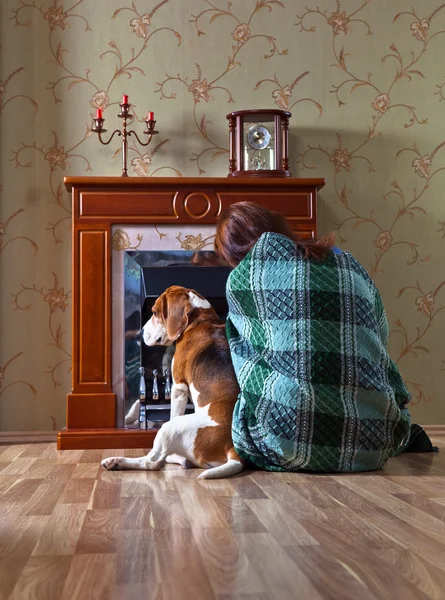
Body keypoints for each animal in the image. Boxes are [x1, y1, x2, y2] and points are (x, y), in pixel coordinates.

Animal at [100, 284, 243, 478]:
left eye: (154, 312)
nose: (140, 333)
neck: (201, 320)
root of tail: (232, 447)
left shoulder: (178, 388)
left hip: (169, 428)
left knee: (153, 461)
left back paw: (116, 462)